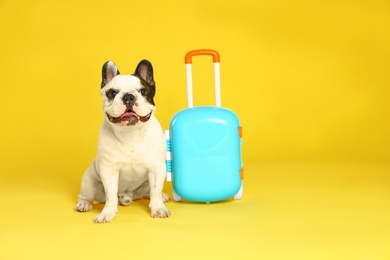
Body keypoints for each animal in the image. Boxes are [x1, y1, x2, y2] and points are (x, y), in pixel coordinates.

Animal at [75, 59, 170, 223]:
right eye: (112, 93)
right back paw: (84, 204)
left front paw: (158, 208)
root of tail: (127, 195)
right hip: (88, 181)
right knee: (85, 195)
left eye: (143, 91)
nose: (128, 96)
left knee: (150, 192)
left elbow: (156, 190)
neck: (130, 134)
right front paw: (107, 213)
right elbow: (110, 195)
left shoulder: (156, 168)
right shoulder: (109, 170)